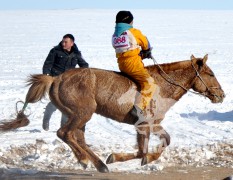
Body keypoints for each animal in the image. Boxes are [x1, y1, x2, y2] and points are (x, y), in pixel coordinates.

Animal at [0, 54, 226, 172]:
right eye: (210, 73)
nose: (221, 95)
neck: (162, 86)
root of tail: (55, 78)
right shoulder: (144, 124)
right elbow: (143, 150)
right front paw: (116, 157)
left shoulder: (152, 124)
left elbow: (166, 141)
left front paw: (148, 159)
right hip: (82, 113)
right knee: (65, 133)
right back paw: (90, 162)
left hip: (78, 115)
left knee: (76, 137)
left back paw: (93, 162)